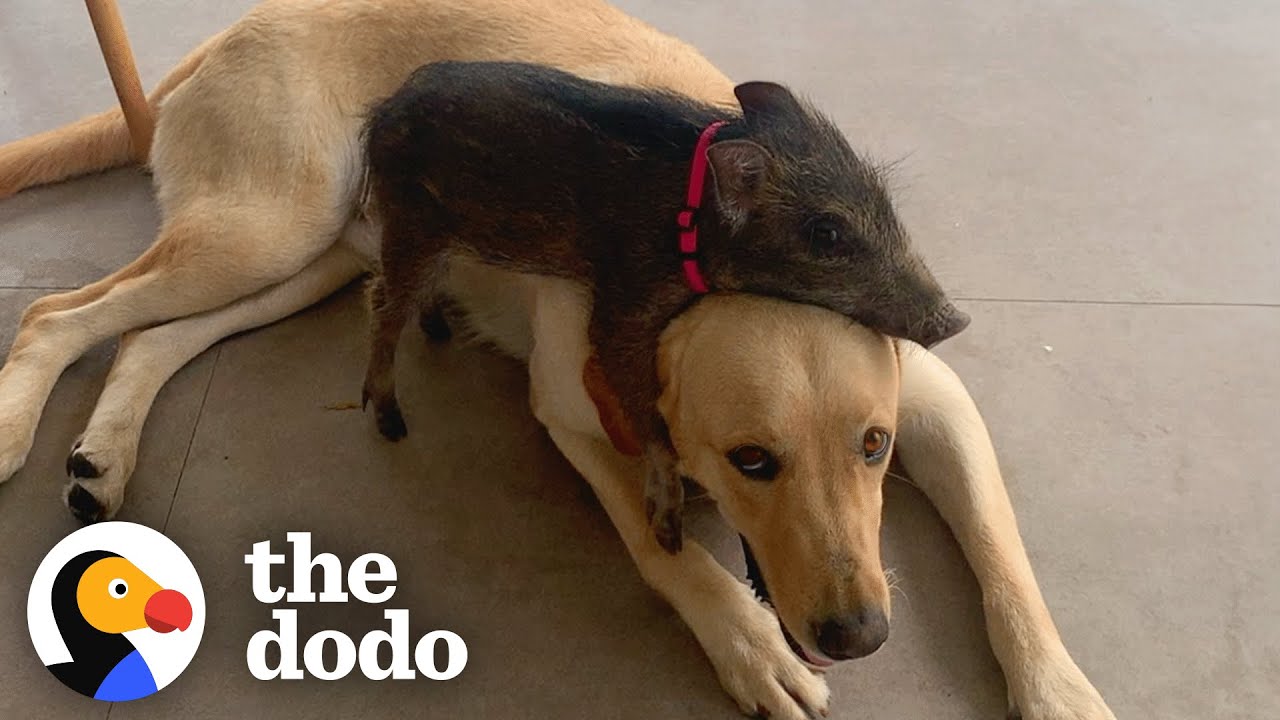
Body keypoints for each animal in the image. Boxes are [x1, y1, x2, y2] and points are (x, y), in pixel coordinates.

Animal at [0, 1, 1111, 717]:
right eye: (750, 462)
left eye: (874, 448)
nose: (859, 638)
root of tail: (217, 40)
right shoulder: (577, 413)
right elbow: (669, 555)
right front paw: (747, 644)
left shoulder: (937, 408)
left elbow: (1005, 563)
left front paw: (1057, 688)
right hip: (271, 228)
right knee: (56, 313)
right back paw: (17, 427)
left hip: (312, 258)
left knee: (146, 333)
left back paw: (102, 457)